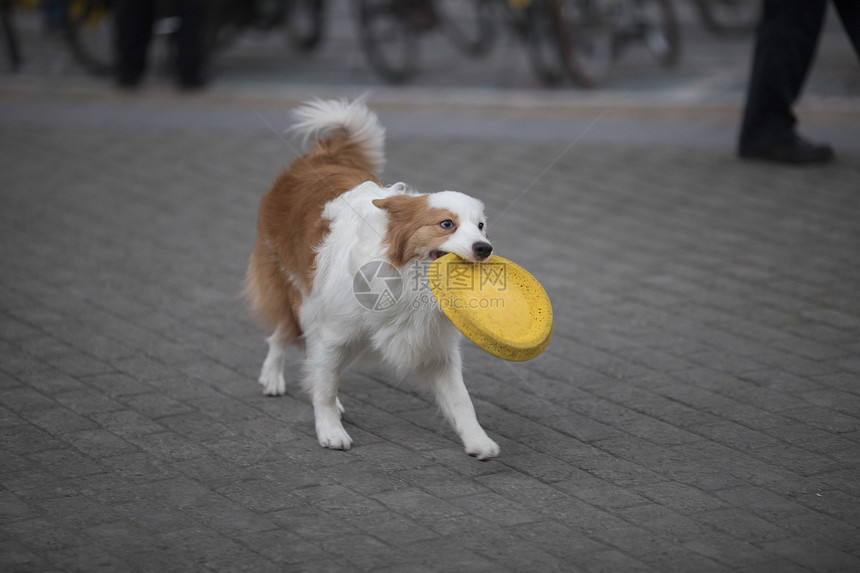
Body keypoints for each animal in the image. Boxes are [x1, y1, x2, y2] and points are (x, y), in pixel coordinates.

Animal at [244, 97, 498, 456]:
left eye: (480, 226)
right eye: (446, 224)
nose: (484, 248)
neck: (409, 282)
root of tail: (320, 157)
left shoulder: (435, 348)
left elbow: (462, 400)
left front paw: (478, 441)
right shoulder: (332, 330)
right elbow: (324, 386)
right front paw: (330, 431)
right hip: (298, 294)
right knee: (282, 335)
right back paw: (272, 377)